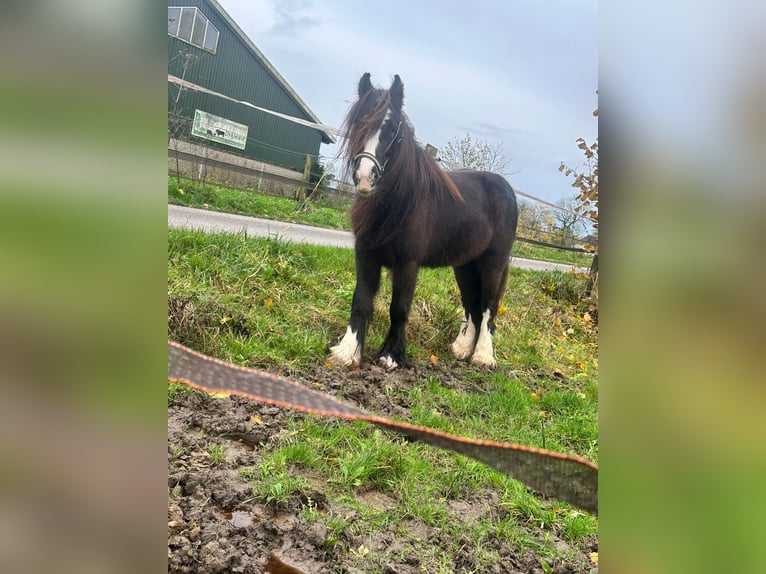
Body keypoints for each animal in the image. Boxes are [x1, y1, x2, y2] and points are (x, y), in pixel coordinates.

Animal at [332, 73, 520, 368]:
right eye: (358, 121)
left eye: (392, 128)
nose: (364, 178)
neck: (398, 203)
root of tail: (506, 190)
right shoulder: (366, 254)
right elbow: (361, 300)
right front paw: (347, 351)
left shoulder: (408, 263)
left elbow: (399, 308)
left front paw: (391, 356)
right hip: (464, 265)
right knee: (472, 305)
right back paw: (461, 349)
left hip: (493, 262)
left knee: (488, 306)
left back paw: (482, 356)